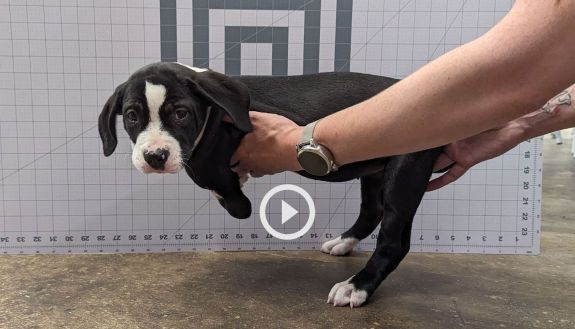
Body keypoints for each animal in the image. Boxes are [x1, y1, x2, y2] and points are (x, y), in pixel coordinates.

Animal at [99, 62, 444, 308]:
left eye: (181, 114)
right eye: (132, 116)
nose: (155, 156)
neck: (211, 112)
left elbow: (221, 186)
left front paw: (237, 194)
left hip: (406, 165)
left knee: (394, 241)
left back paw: (357, 286)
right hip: (375, 167)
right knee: (372, 209)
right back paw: (344, 243)